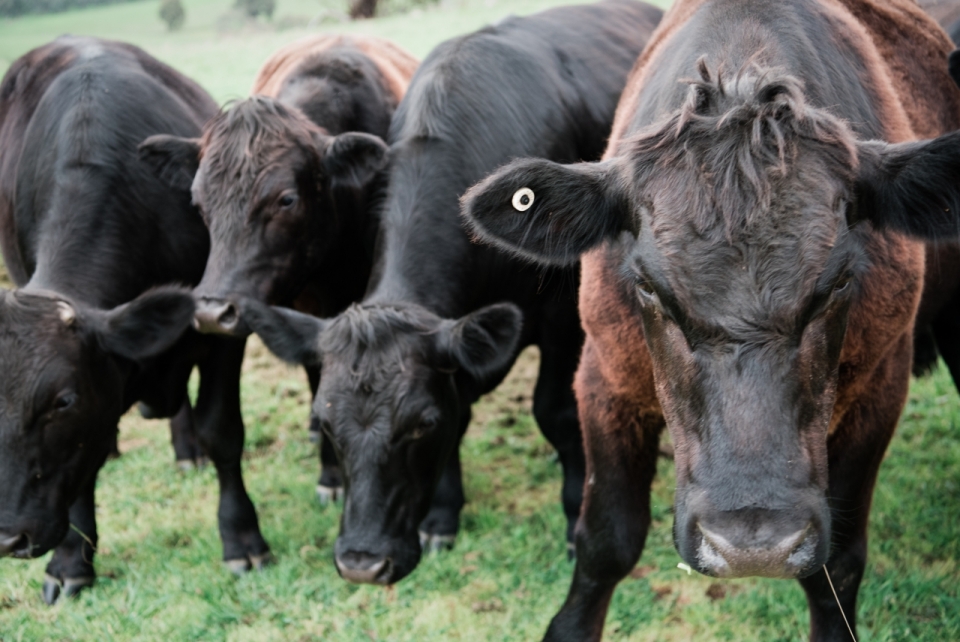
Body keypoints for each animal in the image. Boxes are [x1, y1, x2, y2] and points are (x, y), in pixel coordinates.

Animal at [0, 38, 268, 600]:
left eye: (63, 401)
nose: (8, 538)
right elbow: (86, 463)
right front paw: (70, 562)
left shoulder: (220, 329)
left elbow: (222, 431)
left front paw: (242, 539)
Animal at [236, 0, 664, 584]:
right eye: (325, 423)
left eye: (420, 425)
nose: (362, 563)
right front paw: (441, 516)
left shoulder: (560, 320)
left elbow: (553, 411)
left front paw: (574, 511)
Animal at [462, 1, 960, 640]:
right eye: (647, 285)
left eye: (839, 282)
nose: (753, 546)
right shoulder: (603, 377)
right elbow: (606, 542)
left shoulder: (881, 385)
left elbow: (839, 563)